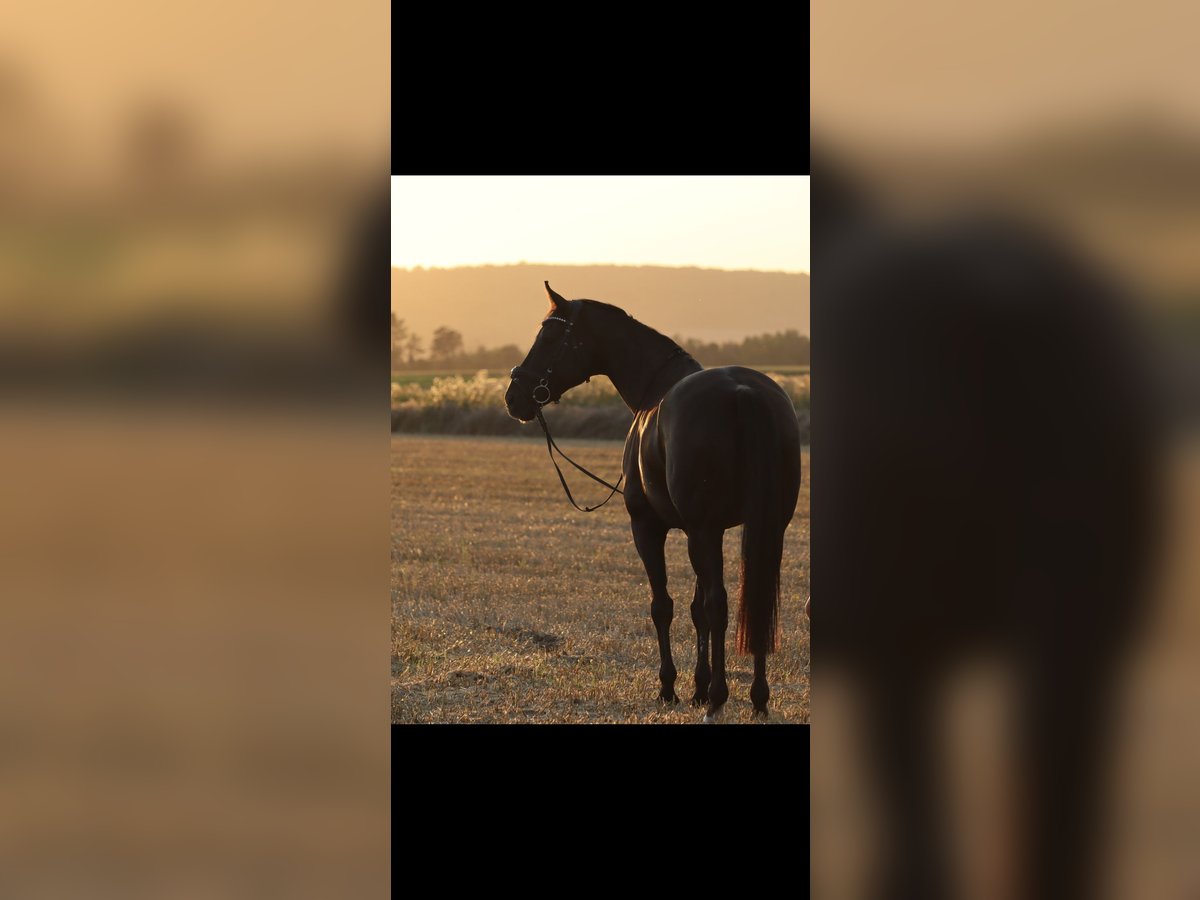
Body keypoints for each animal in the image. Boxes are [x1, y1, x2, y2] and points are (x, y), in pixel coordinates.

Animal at [501, 285, 801, 724]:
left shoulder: (651, 527)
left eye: (550, 336)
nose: (514, 398)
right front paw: (697, 687)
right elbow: (695, 609)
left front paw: (670, 688)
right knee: (755, 602)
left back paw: (720, 698)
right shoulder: (708, 530)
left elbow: (665, 605)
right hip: (766, 527)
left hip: (705, 531)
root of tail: (744, 393)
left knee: (719, 604)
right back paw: (758, 698)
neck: (654, 392)